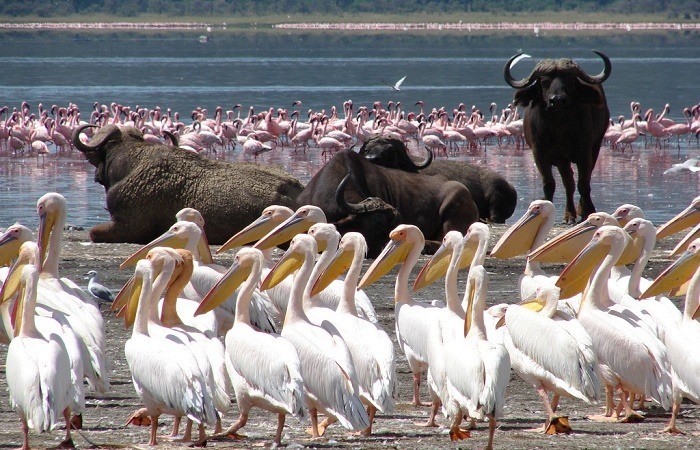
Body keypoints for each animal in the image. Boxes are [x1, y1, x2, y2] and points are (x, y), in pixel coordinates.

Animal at [504, 51, 612, 223]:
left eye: (570, 81)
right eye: (544, 82)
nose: (558, 100)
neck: (559, 129)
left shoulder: (585, 152)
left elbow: (584, 183)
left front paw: (588, 211)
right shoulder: (540, 154)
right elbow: (550, 184)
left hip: (595, 147)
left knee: (583, 180)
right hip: (562, 161)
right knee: (568, 182)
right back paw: (570, 213)